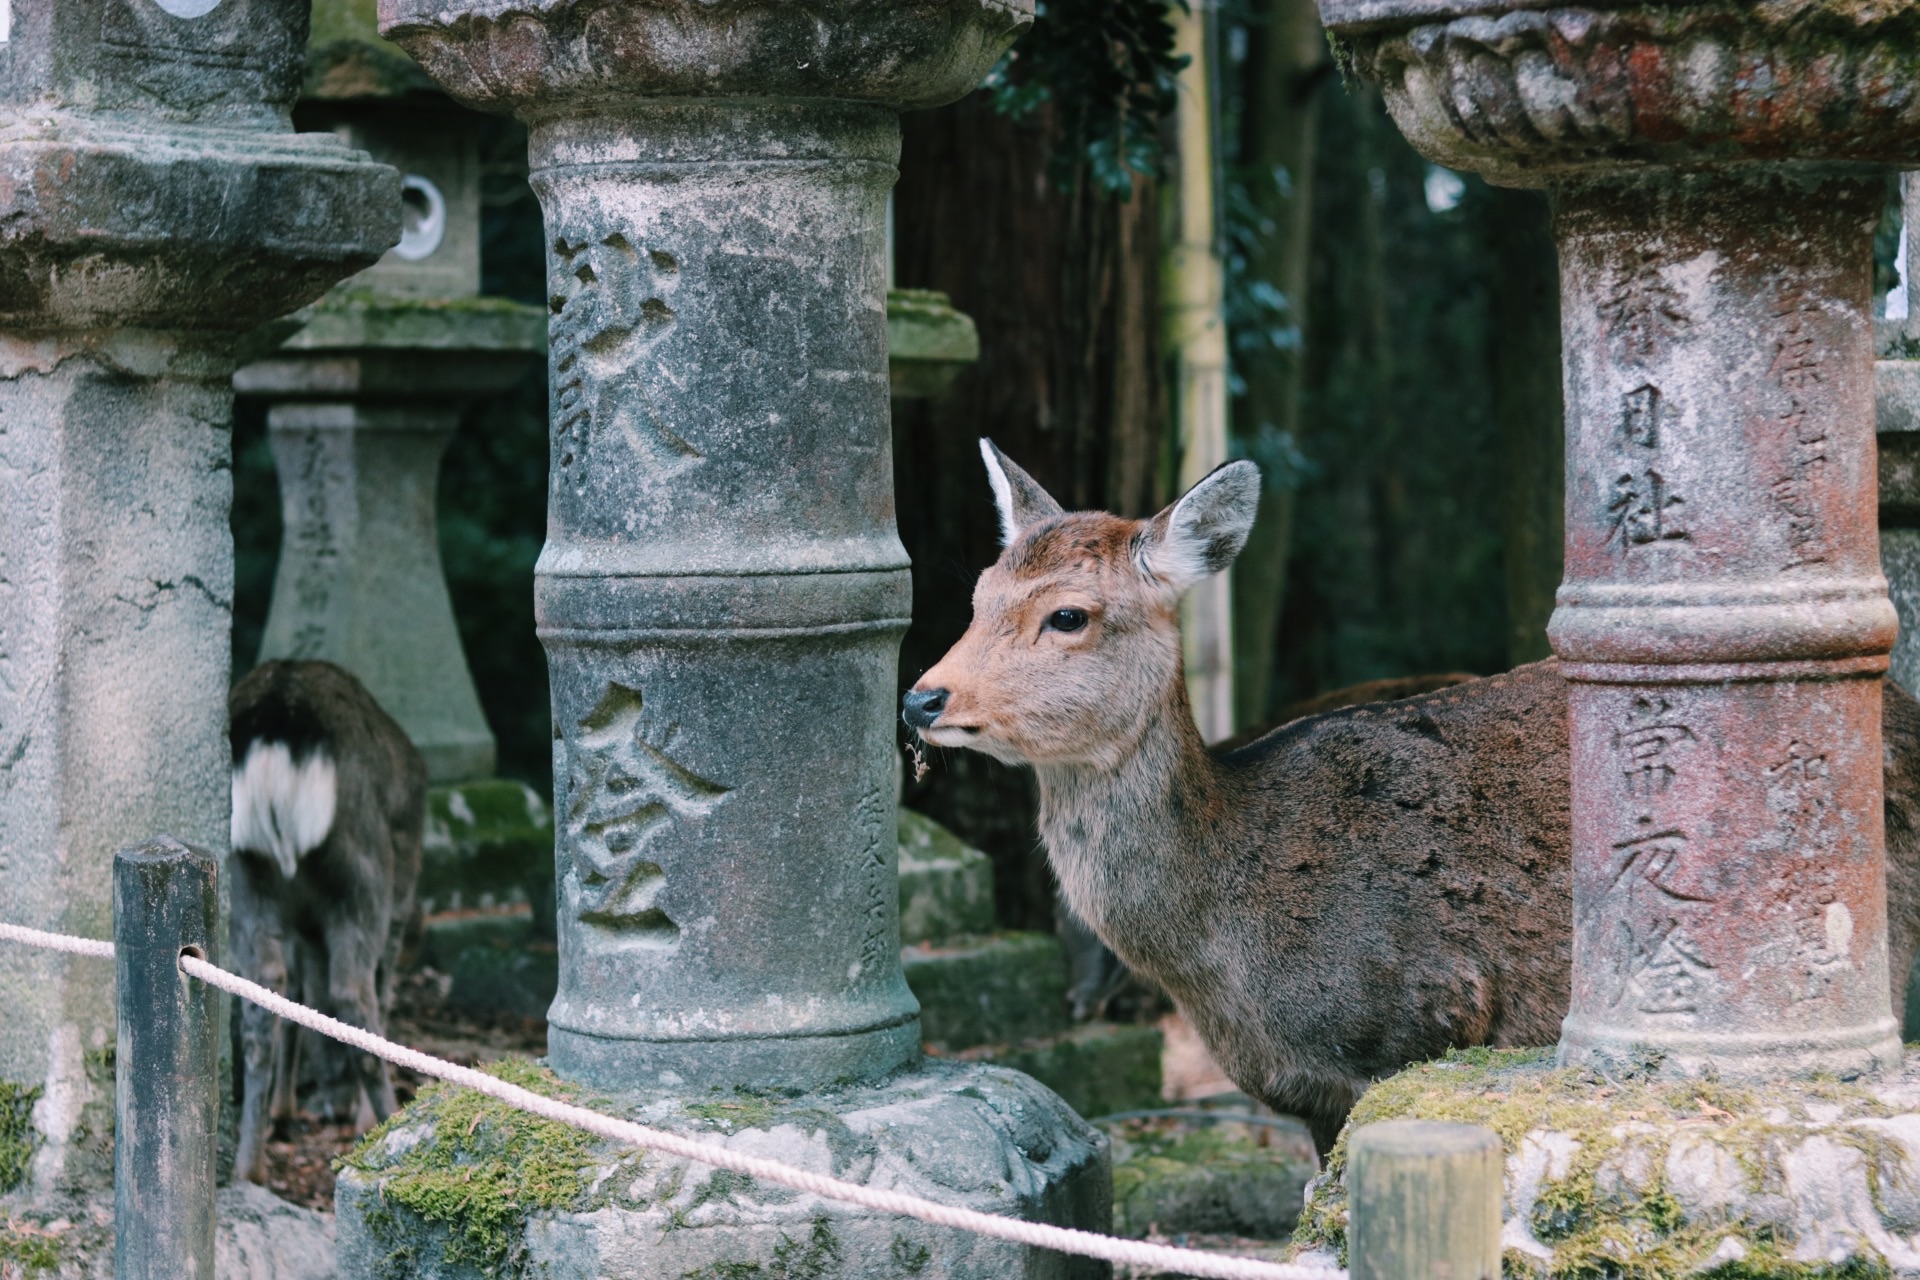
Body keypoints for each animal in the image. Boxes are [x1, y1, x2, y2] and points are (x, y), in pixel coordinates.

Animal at [226, 667, 426, 1189]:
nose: (336, 1104)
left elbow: (295, 997)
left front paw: (283, 1109)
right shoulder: (402, 894)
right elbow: (381, 989)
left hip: (245, 876)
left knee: (263, 995)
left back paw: (248, 1167)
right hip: (365, 872)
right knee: (355, 991)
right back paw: (387, 1126)